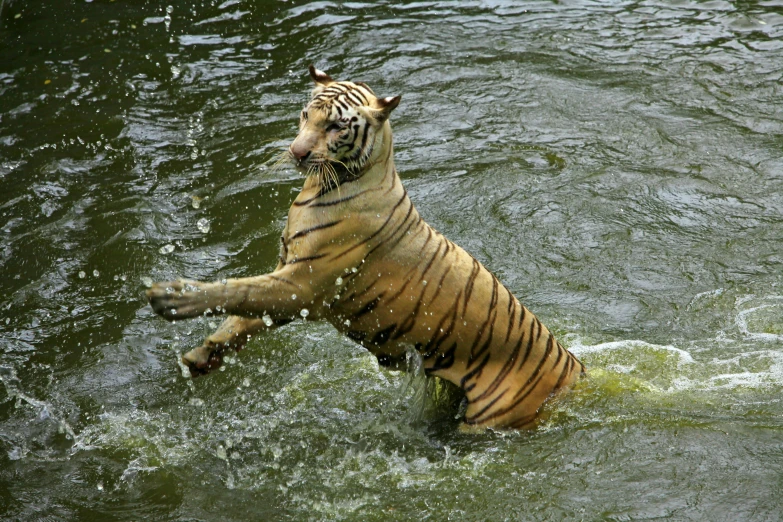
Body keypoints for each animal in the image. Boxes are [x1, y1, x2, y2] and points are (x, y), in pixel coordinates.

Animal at [149, 64, 588, 426]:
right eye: (306, 115)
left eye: (335, 127)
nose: (296, 152)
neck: (326, 183)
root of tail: (574, 369)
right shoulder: (288, 279)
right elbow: (241, 319)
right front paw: (200, 357)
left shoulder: (300, 285)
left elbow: (236, 290)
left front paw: (172, 296)